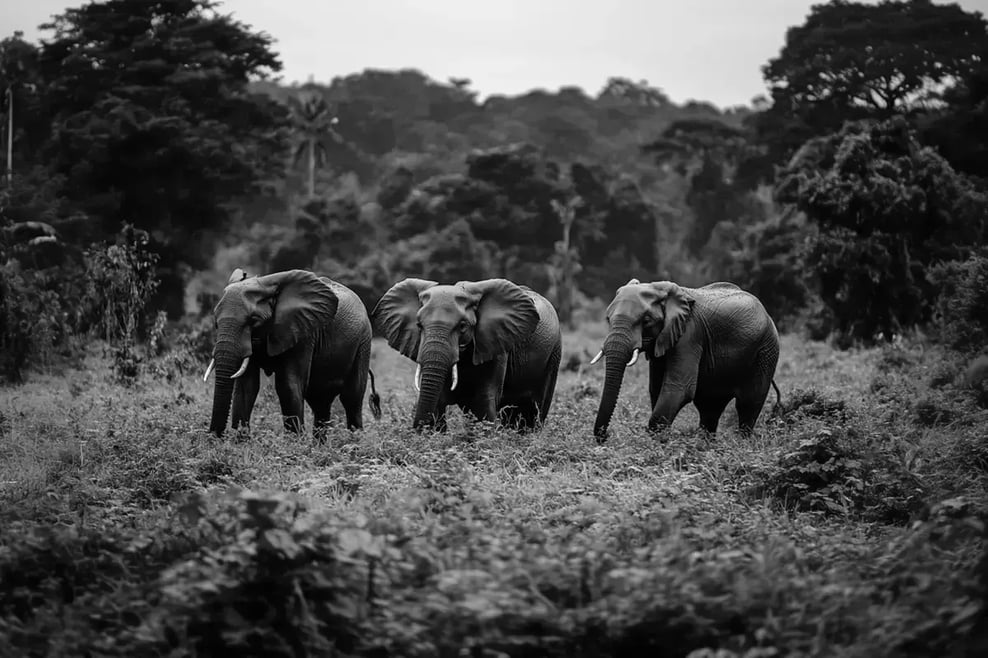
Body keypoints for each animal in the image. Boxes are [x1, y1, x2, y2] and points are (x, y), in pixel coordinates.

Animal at [204, 268, 381, 437]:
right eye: (216, 322)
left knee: (351, 398)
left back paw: (354, 442)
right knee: (320, 402)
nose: (215, 437)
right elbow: (246, 388)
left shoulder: (303, 333)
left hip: (363, 342)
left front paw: (294, 443)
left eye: (253, 320)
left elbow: (288, 385)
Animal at [372, 278, 562, 431]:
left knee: (535, 409)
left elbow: (485, 400)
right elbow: (438, 400)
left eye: (462, 326)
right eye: (419, 325)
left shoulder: (496, 344)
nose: (416, 430)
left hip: (554, 354)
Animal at [591, 279, 780, 441]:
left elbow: (679, 388)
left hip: (767, 349)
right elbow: (656, 388)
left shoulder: (690, 334)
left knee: (748, 403)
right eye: (608, 319)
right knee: (709, 406)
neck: (658, 288)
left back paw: (741, 444)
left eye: (646, 320)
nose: (606, 436)